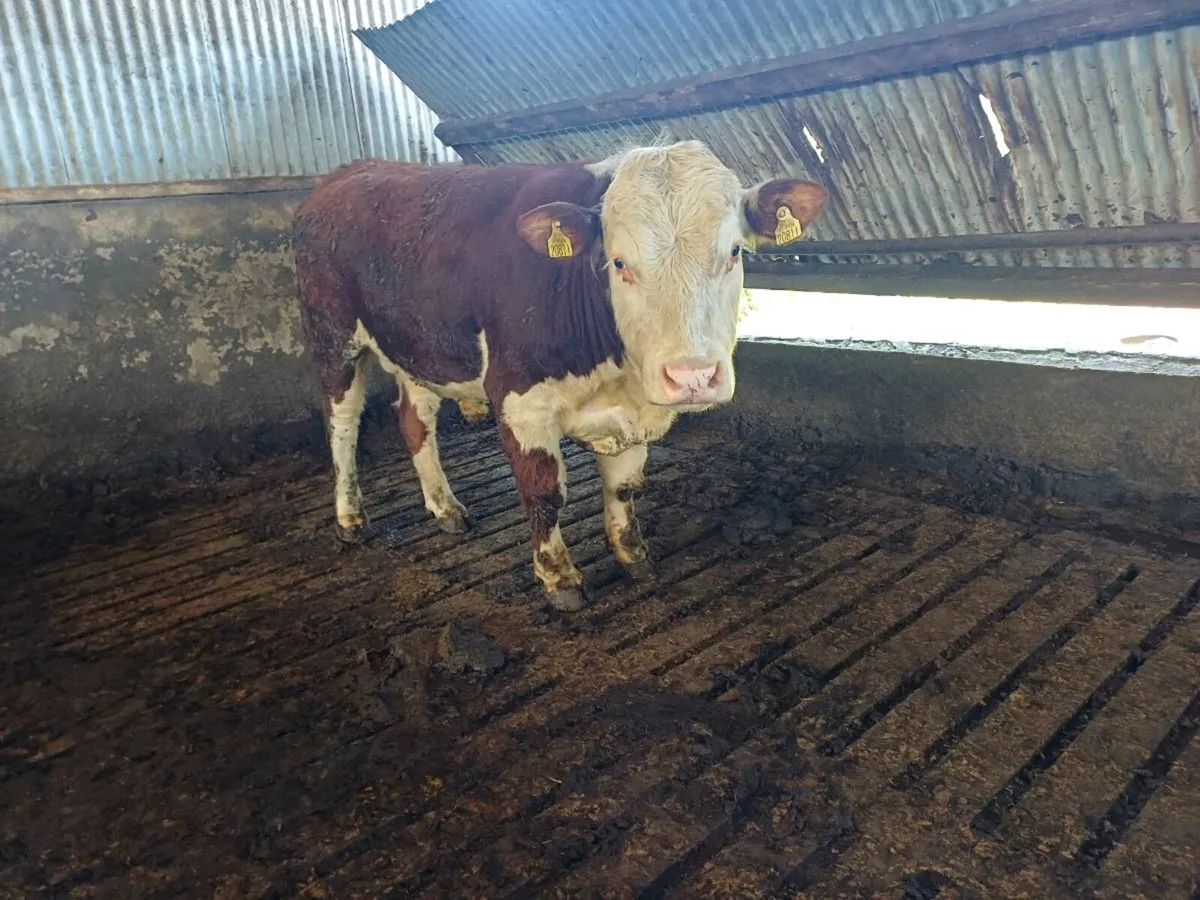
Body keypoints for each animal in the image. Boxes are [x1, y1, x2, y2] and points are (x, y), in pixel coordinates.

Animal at [293, 140, 828, 611]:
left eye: (735, 251)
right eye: (618, 262)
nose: (692, 375)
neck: (617, 375)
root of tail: (345, 173)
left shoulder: (634, 414)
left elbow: (624, 486)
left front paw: (633, 556)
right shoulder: (518, 401)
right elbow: (544, 492)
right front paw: (558, 577)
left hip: (418, 348)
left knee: (414, 419)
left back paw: (444, 506)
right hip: (331, 336)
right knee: (342, 424)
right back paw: (350, 517)